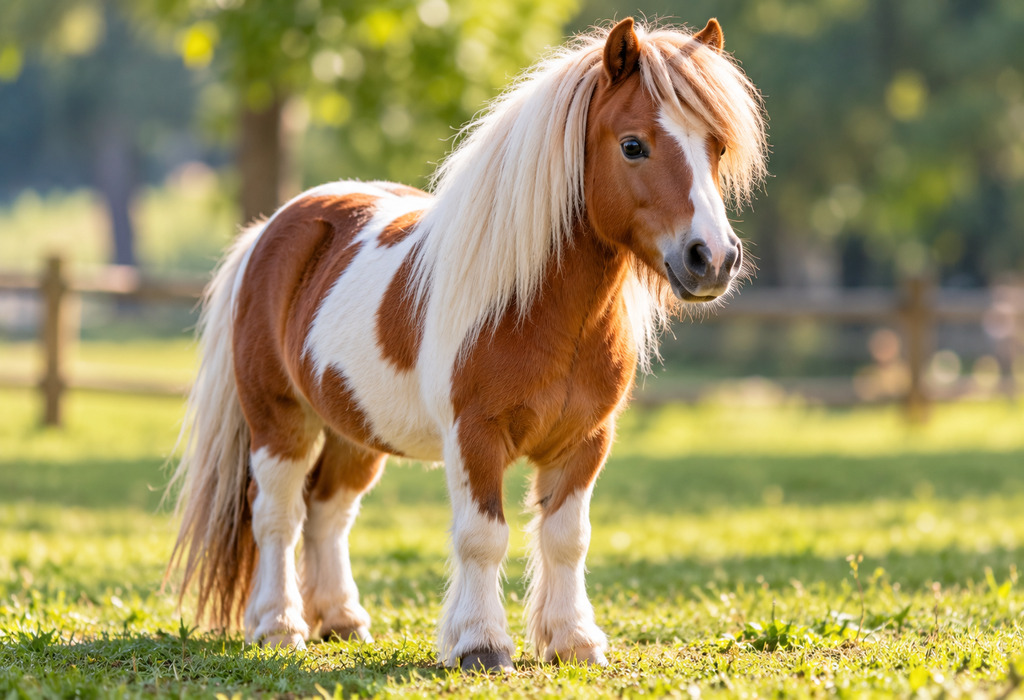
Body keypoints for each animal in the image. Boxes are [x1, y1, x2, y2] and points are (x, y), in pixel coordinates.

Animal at [165, 17, 767, 672]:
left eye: (717, 147)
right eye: (633, 145)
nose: (713, 258)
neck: (539, 310)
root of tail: (271, 230)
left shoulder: (584, 440)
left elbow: (567, 538)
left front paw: (574, 640)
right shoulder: (475, 436)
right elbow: (483, 537)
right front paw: (480, 644)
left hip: (355, 430)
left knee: (329, 513)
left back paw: (343, 620)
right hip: (281, 420)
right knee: (278, 514)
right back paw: (279, 625)